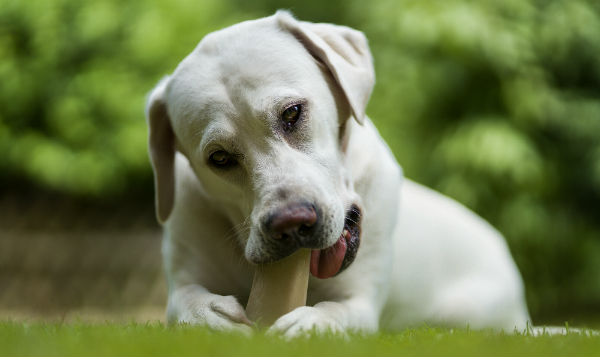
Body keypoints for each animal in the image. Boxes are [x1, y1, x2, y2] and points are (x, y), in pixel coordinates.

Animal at [145, 9, 528, 336]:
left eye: (292, 113)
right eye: (220, 158)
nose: (291, 223)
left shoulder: (360, 300)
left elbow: (339, 311)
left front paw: (312, 323)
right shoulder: (183, 271)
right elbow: (185, 301)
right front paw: (210, 316)